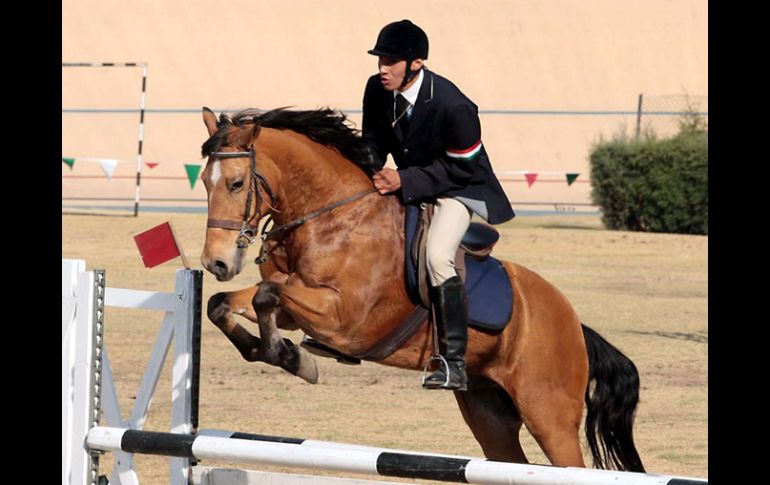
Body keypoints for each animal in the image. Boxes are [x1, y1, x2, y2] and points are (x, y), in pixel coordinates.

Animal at [196, 107, 640, 472]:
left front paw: (291, 357)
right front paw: (279, 353)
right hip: (489, 414)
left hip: (549, 415)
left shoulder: (343, 319)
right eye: (204, 182)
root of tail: (575, 325)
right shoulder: (295, 305)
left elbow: (264, 296)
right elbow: (225, 304)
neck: (333, 218)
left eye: (236, 183)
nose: (215, 263)